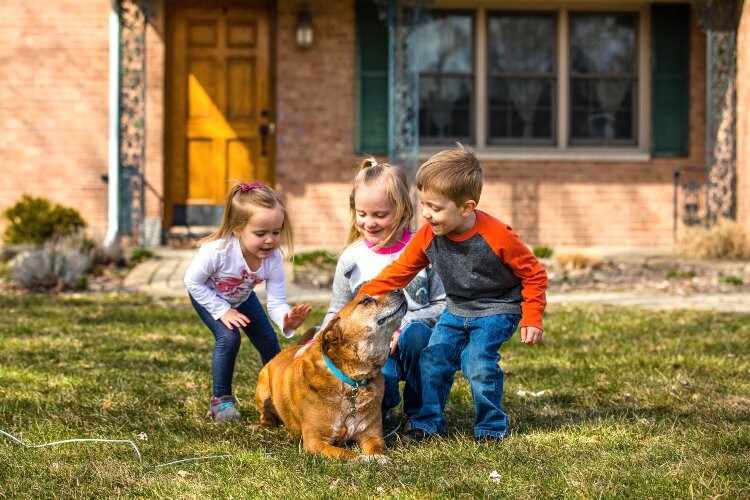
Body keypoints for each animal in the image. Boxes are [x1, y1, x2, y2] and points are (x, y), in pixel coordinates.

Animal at [256, 290, 408, 460]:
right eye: (366, 300)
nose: (399, 290)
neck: (352, 381)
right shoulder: (316, 442)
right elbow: (346, 453)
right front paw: (363, 459)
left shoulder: (372, 435)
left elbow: (377, 449)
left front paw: (378, 458)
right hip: (262, 394)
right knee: (265, 417)